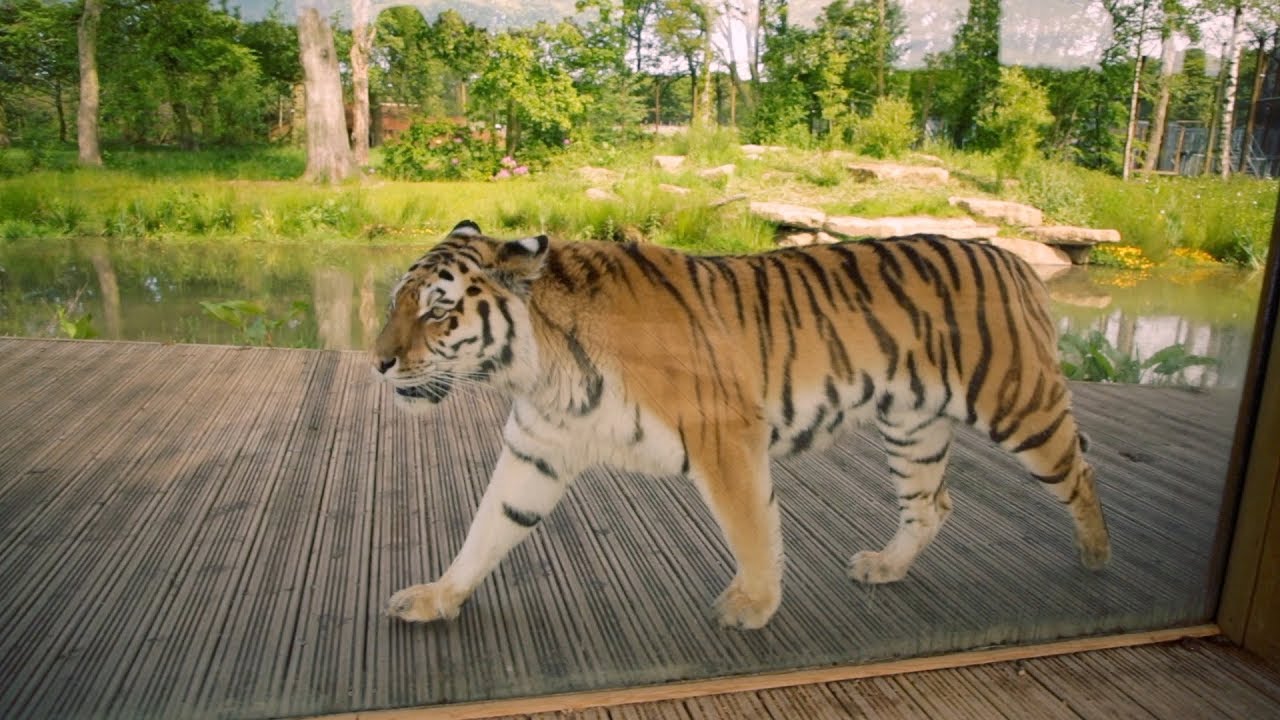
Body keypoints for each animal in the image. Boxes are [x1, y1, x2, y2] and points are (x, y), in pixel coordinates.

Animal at [373, 219, 1110, 630]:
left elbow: (752, 529)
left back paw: (1096, 554)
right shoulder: (538, 451)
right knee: (931, 503)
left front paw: (752, 607)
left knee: (1080, 468)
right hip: (913, 425)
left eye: (438, 311)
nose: (379, 362)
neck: (536, 365)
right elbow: (487, 530)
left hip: (1018, 406)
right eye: (394, 304)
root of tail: (1014, 259)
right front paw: (438, 597)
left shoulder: (725, 435)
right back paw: (887, 566)